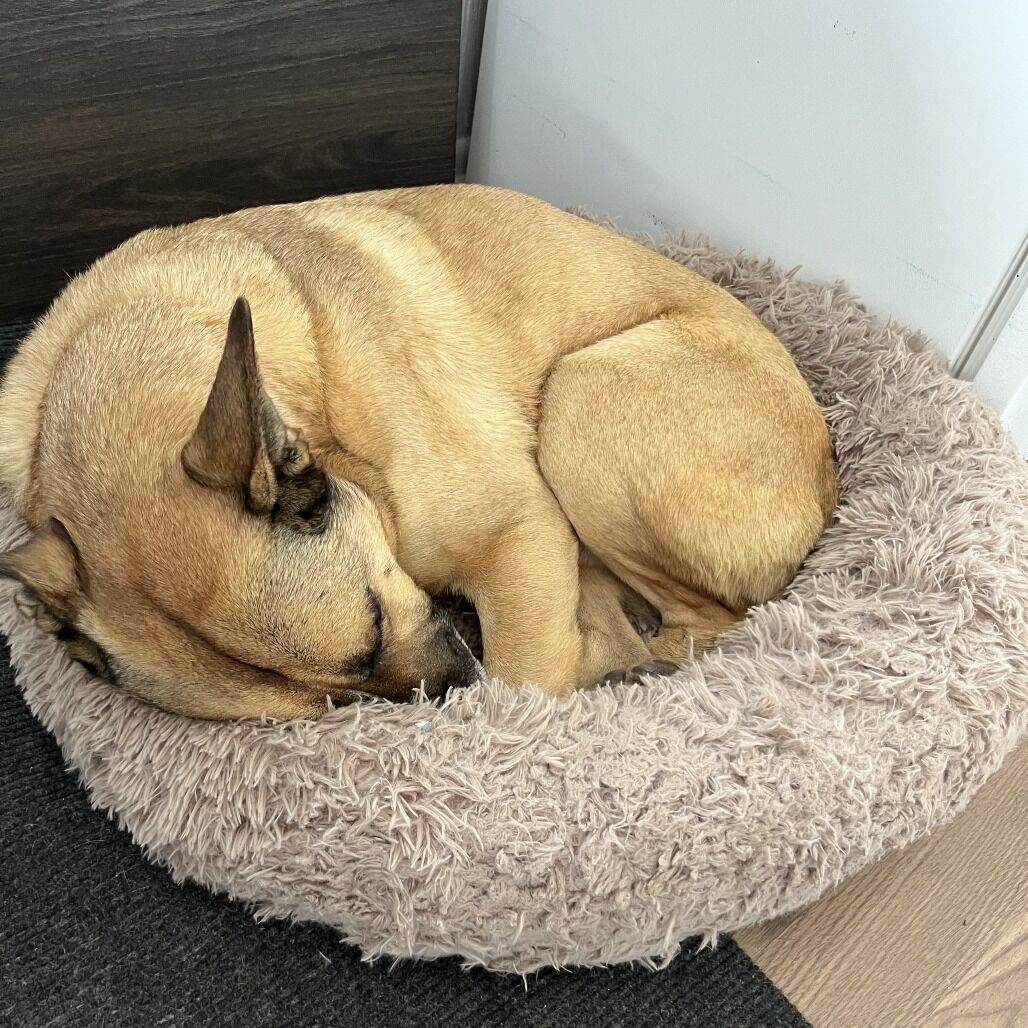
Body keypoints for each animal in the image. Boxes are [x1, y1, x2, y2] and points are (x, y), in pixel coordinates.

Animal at [0, 185, 836, 719]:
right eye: (335, 703)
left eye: (373, 628)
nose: (449, 692)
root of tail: (828, 475)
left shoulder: (520, 533)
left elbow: (526, 686)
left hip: (580, 404)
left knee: (706, 623)